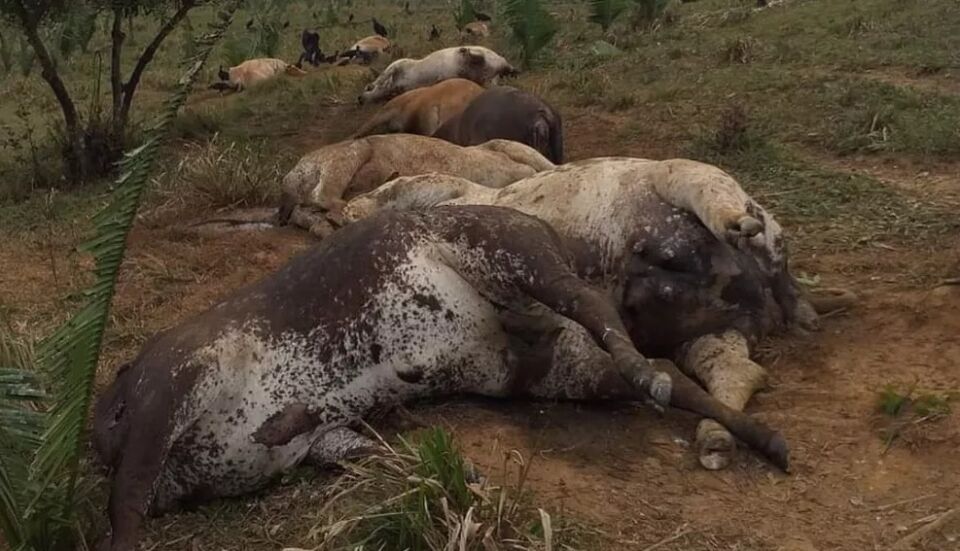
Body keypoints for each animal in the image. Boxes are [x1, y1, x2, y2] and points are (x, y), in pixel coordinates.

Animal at [93, 205, 788, 551]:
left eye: (114, 412)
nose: (104, 438)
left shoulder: (173, 385)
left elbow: (124, 506)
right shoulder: (322, 441)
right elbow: (377, 455)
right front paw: (464, 479)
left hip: (513, 254)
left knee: (596, 309)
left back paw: (649, 374)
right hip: (544, 367)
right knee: (663, 370)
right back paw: (759, 436)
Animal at [343, 158, 856, 470]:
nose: (344, 210)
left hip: (687, 181)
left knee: (736, 219)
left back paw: (748, 237)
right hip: (711, 334)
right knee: (737, 370)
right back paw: (715, 438)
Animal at [358, 46, 517, 104]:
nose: (359, 99)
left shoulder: (399, 64)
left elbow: (383, 77)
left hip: (493, 63)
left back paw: (465, 51)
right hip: (488, 78)